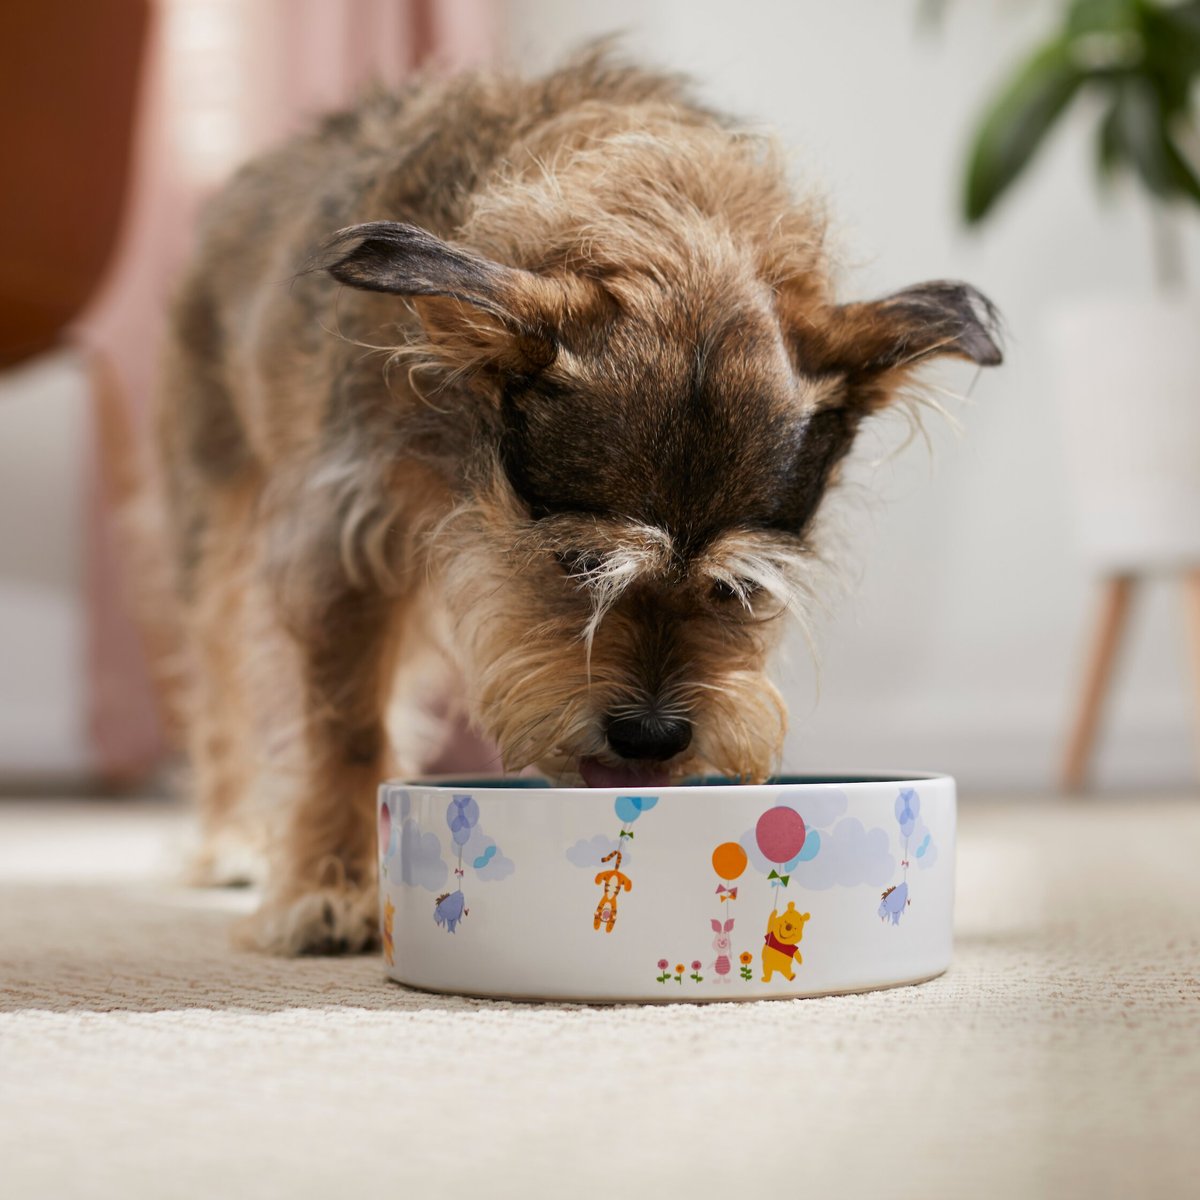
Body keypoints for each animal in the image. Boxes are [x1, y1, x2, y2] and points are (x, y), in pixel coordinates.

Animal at [159, 49, 1003, 955]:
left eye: (740, 589)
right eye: (577, 561)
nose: (651, 736)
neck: (665, 207)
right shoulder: (344, 534)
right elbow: (346, 723)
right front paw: (332, 884)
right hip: (211, 519)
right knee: (217, 680)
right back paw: (229, 839)